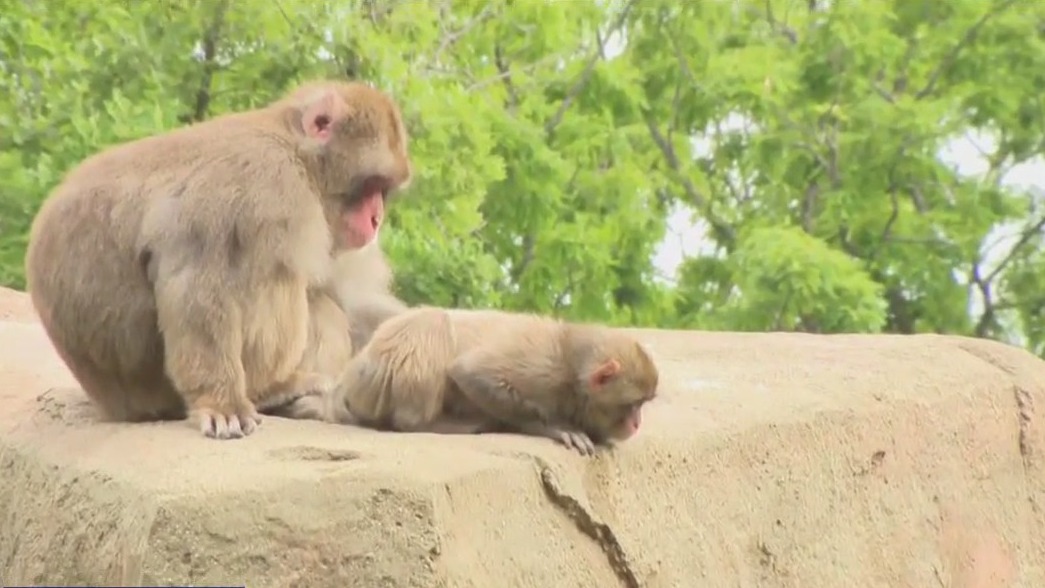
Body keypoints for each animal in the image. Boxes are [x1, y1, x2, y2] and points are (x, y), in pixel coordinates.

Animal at [25, 80, 412, 440]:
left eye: (383, 191)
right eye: (371, 185)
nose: (376, 219)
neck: (294, 150)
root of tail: (113, 404)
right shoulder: (270, 184)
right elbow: (196, 281)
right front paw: (222, 402)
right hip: (154, 383)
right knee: (277, 277)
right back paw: (272, 387)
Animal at [313, 307, 660, 455]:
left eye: (643, 405)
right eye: (633, 404)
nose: (638, 422)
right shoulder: (542, 368)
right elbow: (470, 372)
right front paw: (554, 427)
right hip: (373, 375)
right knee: (434, 321)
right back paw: (427, 423)